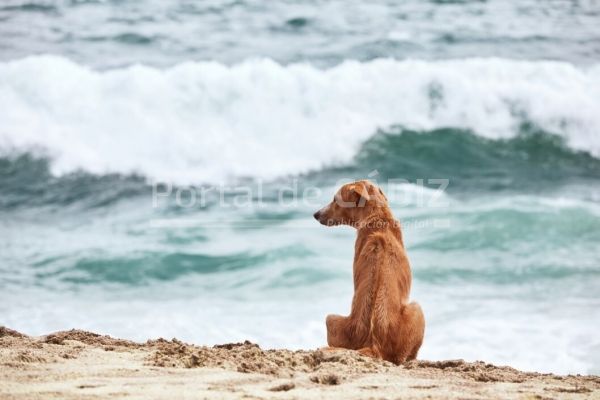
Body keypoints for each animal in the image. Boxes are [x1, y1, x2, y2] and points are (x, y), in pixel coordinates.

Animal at [312, 181, 424, 366]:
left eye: (335, 199)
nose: (316, 214)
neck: (376, 216)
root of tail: (373, 344)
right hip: (416, 309)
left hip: (331, 319)